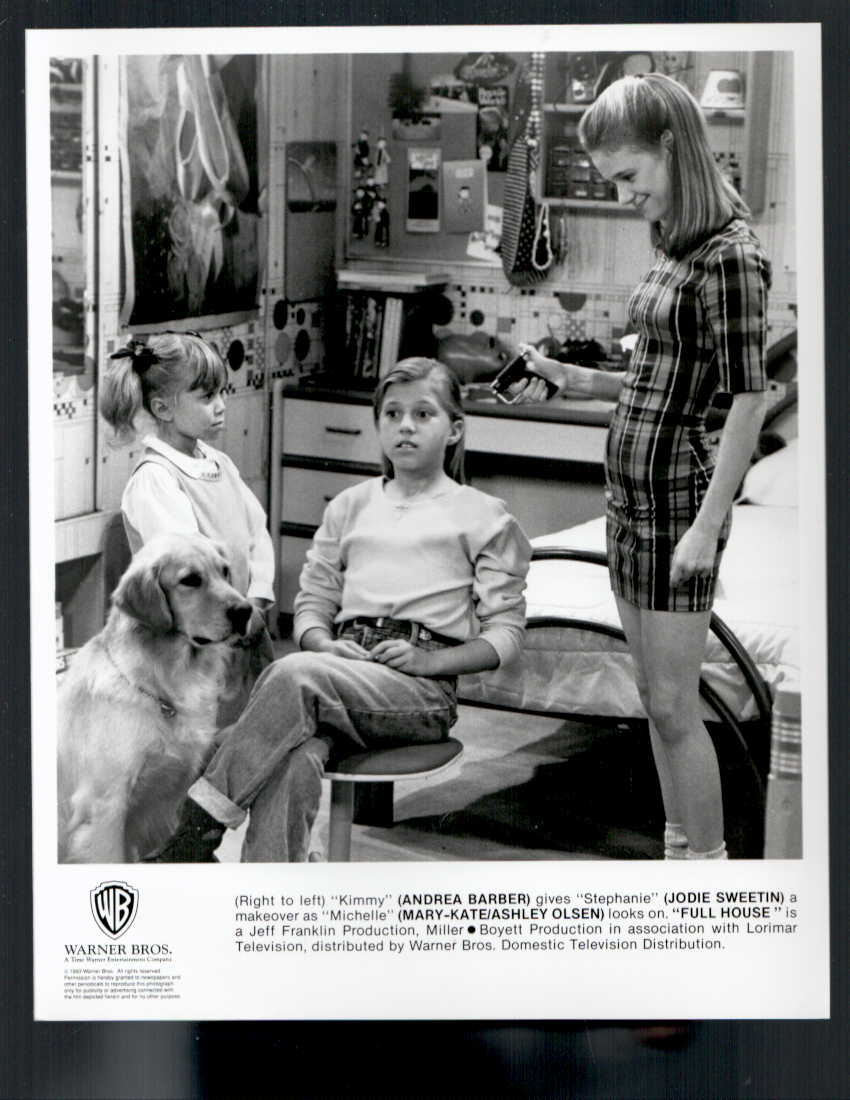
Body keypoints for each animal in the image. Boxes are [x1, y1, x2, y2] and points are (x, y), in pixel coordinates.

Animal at [57, 532, 255, 863]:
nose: (245, 611)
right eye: (190, 580)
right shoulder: (104, 808)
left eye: (225, 571)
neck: (158, 689)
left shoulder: (167, 799)